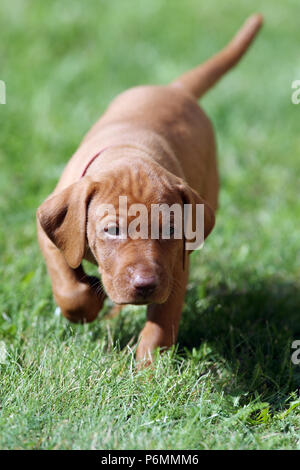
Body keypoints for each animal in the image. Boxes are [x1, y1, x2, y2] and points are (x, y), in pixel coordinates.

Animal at [37, 13, 262, 360]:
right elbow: (68, 286)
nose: (145, 284)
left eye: (169, 230)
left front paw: (148, 367)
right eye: (112, 230)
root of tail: (175, 89)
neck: (129, 150)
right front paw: (89, 300)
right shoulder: (51, 235)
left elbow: (161, 322)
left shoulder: (176, 266)